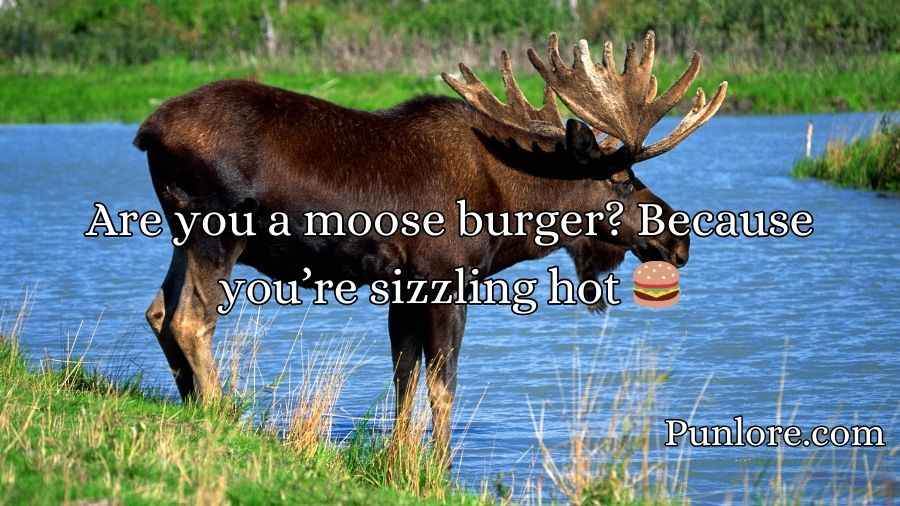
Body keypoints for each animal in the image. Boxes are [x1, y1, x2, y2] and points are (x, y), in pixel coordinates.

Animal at [134, 31, 727, 453]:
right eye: (622, 180)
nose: (679, 239)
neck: (512, 209)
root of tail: (147, 131)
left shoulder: (404, 286)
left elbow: (404, 378)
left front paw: (400, 458)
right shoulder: (446, 279)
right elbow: (444, 384)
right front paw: (439, 465)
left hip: (181, 233)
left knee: (158, 310)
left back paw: (192, 407)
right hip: (217, 230)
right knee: (190, 319)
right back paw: (220, 415)